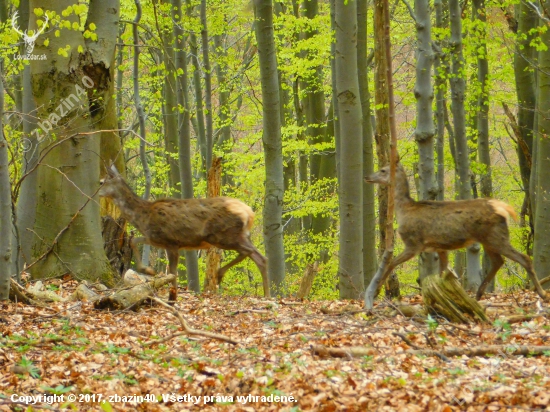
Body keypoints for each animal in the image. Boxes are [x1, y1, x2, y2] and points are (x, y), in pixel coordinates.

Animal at [101, 166, 272, 300]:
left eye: (102, 181)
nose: (98, 191)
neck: (143, 216)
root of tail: (249, 213)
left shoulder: (170, 241)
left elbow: (173, 272)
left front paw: (172, 296)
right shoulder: (156, 239)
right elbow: (133, 241)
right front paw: (148, 271)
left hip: (223, 236)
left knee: (249, 252)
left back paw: (219, 274)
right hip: (241, 235)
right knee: (260, 257)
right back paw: (266, 294)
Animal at [364, 164, 548, 302]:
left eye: (383, 170)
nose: (367, 177)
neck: (404, 211)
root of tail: (503, 208)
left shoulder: (413, 243)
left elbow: (392, 263)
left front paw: (375, 291)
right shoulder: (439, 247)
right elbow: (441, 273)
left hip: (496, 237)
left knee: (524, 258)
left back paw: (542, 293)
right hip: (488, 240)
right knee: (499, 261)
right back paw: (478, 294)